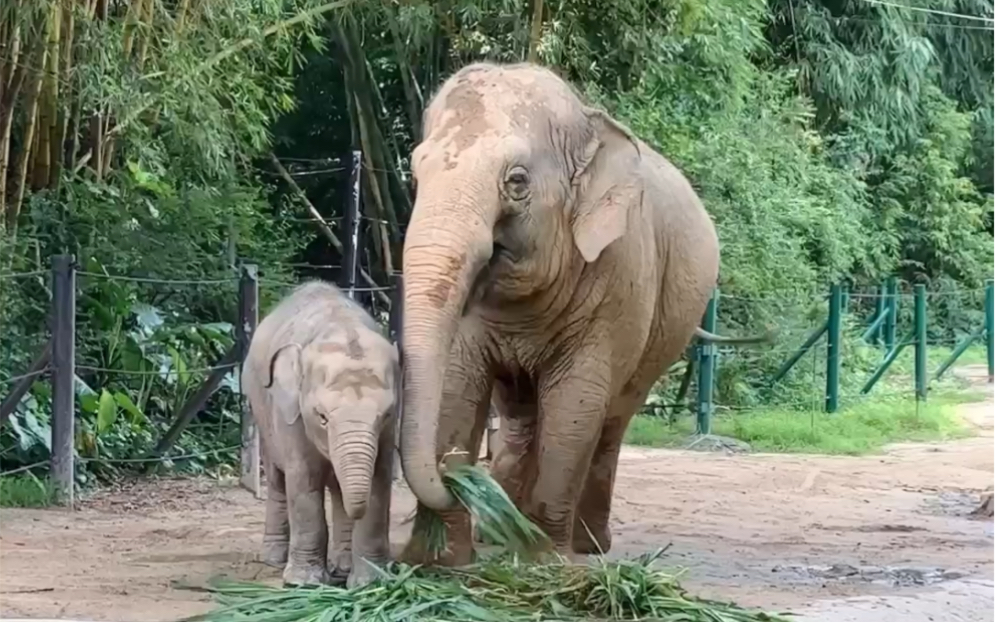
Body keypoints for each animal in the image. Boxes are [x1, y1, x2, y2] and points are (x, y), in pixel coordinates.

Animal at [243, 282, 398, 588]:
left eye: (386, 414)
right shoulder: (291, 414)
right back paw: (274, 559)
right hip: (260, 411)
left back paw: (342, 567)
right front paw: (304, 583)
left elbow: (379, 480)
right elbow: (303, 481)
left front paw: (370, 582)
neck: (342, 326)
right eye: (322, 417)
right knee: (278, 480)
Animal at [400, 59, 768, 564]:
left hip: (661, 335)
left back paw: (587, 544)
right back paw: (502, 535)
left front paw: (546, 561)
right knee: (520, 415)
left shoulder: (619, 276)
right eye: (416, 176)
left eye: (517, 181)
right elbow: (457, 385)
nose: (453, 483)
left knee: (614, 418)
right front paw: (434, 561)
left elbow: (575, 401)